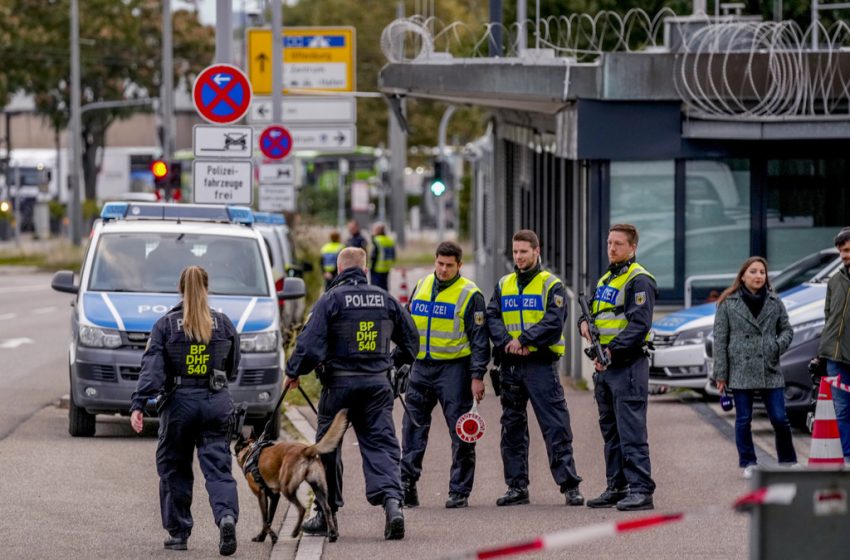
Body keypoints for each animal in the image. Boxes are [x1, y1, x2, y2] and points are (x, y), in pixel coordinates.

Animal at [232, 410, 348, 544]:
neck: (250, 450)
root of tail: (305, 450)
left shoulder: (261, 495)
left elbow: (265, 521)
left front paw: (272, 536)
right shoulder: (274, 496)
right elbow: (269, 520)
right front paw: (262, 537)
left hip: (286, 489)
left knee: (302, 509)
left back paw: (295, 532)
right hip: (319, 488)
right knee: (327, 509)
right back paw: (332, 534)